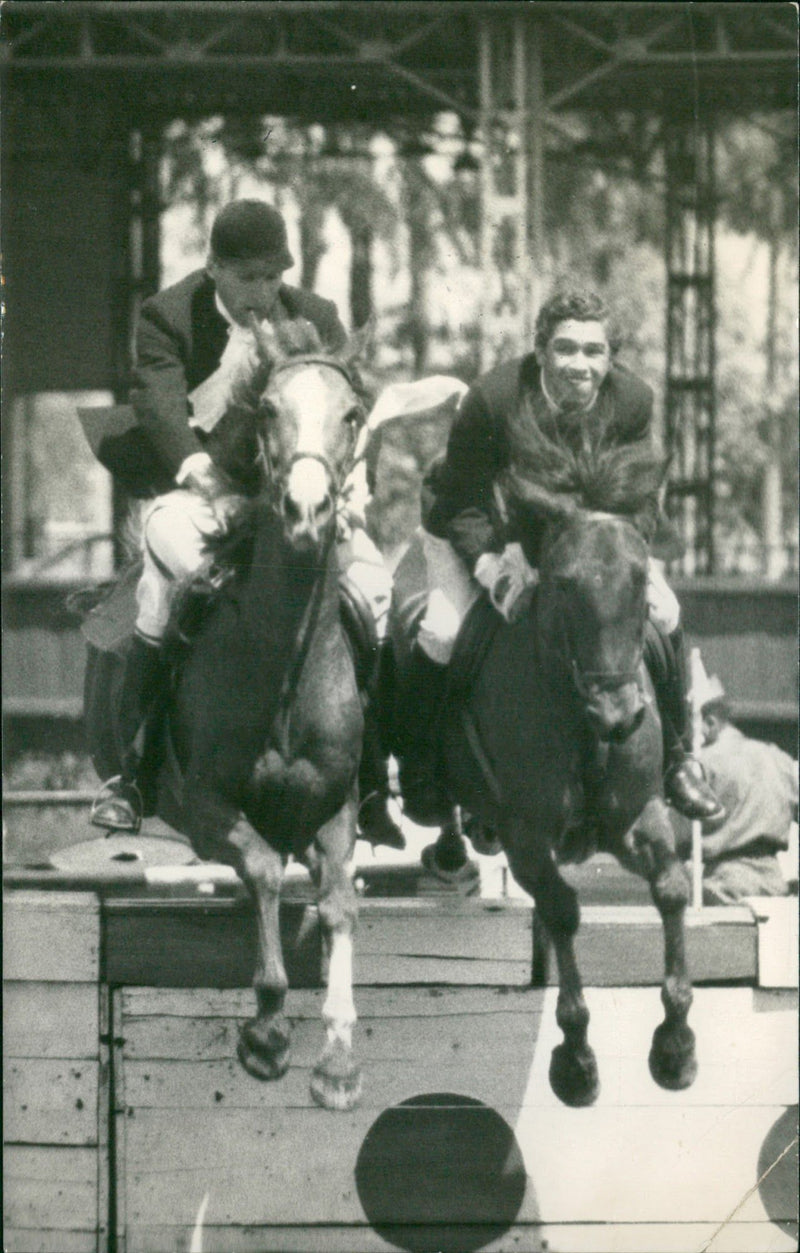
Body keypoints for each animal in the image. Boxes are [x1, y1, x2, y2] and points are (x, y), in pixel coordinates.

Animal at [386, 428, 697, 1107]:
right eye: (563, 584)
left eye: (640, 579)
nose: (619, 717)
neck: (581, 719)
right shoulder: (528, 837)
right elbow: (561, 912)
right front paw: (576, 1061)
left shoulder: (637, 818)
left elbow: (670, 888)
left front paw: (675, 1046)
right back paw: (445, 837)